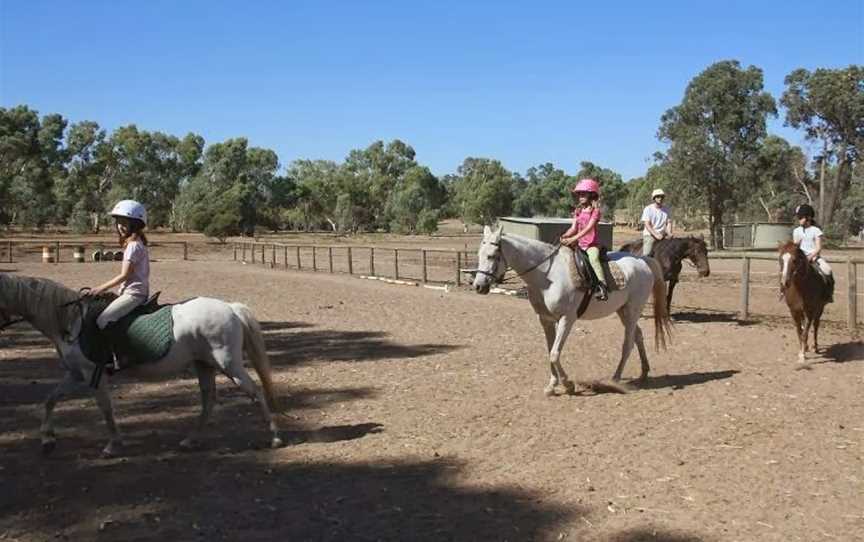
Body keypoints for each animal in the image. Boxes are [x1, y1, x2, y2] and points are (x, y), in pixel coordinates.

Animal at [0, 274, 286, 456]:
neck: (71, 323)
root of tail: (230, 307)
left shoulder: (93, 375)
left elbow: (106, 409)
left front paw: (112, 445)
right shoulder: (75, 374)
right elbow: (50, 399)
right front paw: (47, 440)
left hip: (229, 364)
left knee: (256, 392)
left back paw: (275, 438)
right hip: (204, 364)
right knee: (209, 401)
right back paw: (189, 441)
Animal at [472, 227, 668, 398]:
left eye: (492, 256)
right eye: (479, 254)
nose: (478, 286)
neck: (547, 276)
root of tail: (642, 261)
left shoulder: (567, 319)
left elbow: (555, 353)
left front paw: (567, 385)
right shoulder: (545, 319)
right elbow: (550, 351)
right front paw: (552, 386)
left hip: (633, 310)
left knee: (628, 344)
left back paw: (615, 379)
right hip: (623, 311)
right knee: (638, 336)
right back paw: (643, 373)